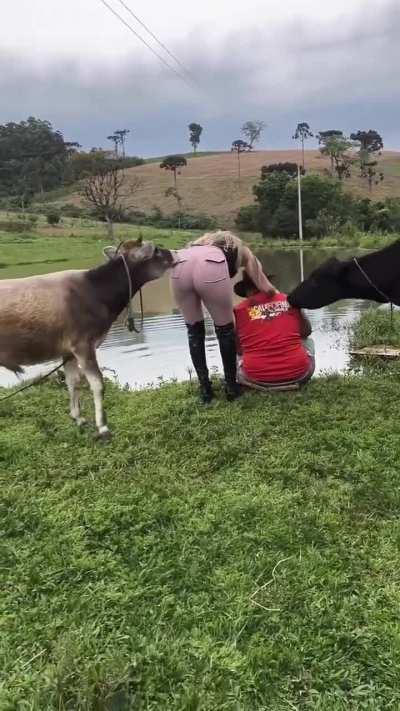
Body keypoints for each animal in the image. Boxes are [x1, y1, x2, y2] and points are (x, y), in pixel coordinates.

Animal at [0, 239, 174, 438]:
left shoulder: (68, 351)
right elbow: (97, 384)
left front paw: (77, 417)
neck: (96, 291)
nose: (175, 253)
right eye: (157, 250)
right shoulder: (83, 345)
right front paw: (103, 426)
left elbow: (72, 381)